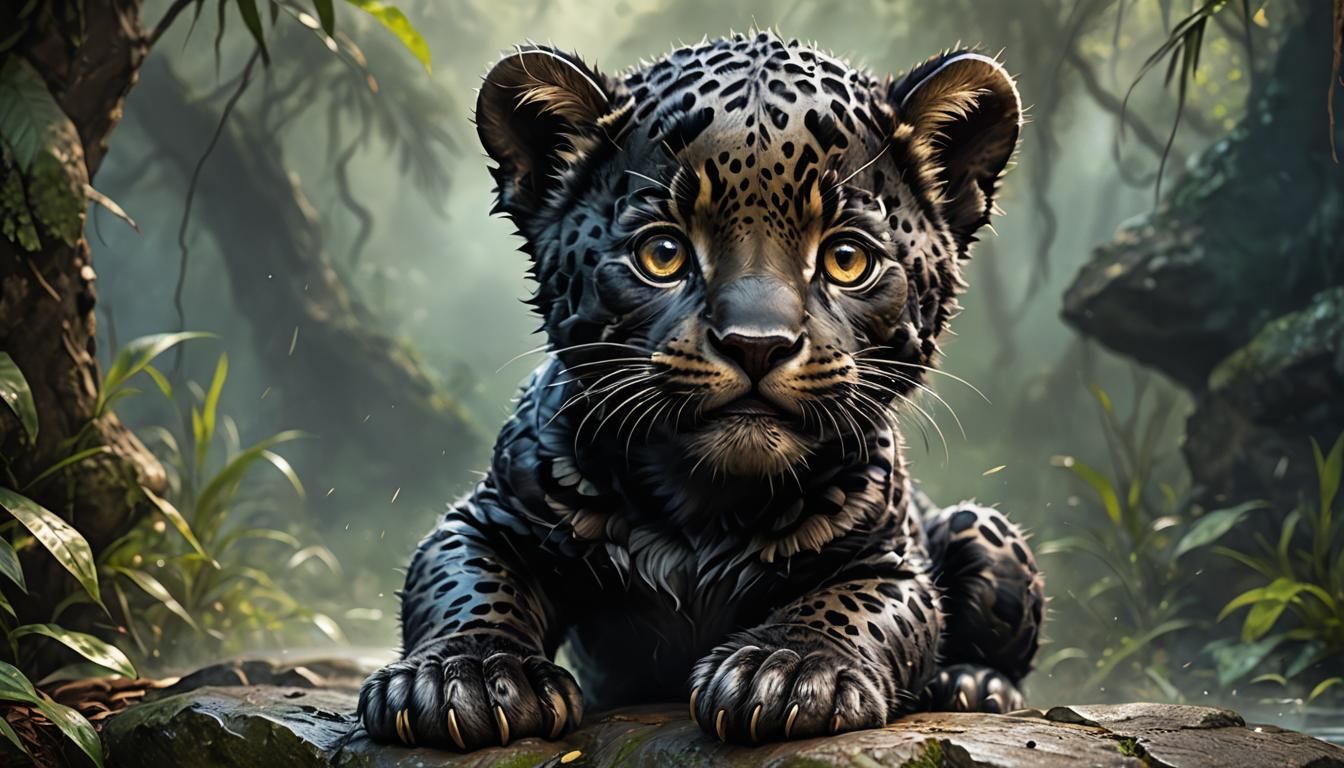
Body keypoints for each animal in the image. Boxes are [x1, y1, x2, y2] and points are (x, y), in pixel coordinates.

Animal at [357, 31, 1044, 751]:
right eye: (662, 254)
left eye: (847, 259)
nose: (756, 344)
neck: (703, 502)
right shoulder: (489, 517)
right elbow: (467, 582)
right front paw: (464, 674)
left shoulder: (887, 558)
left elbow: (850, 603)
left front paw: (789, 671)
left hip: (982, 528)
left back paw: (974, 685)